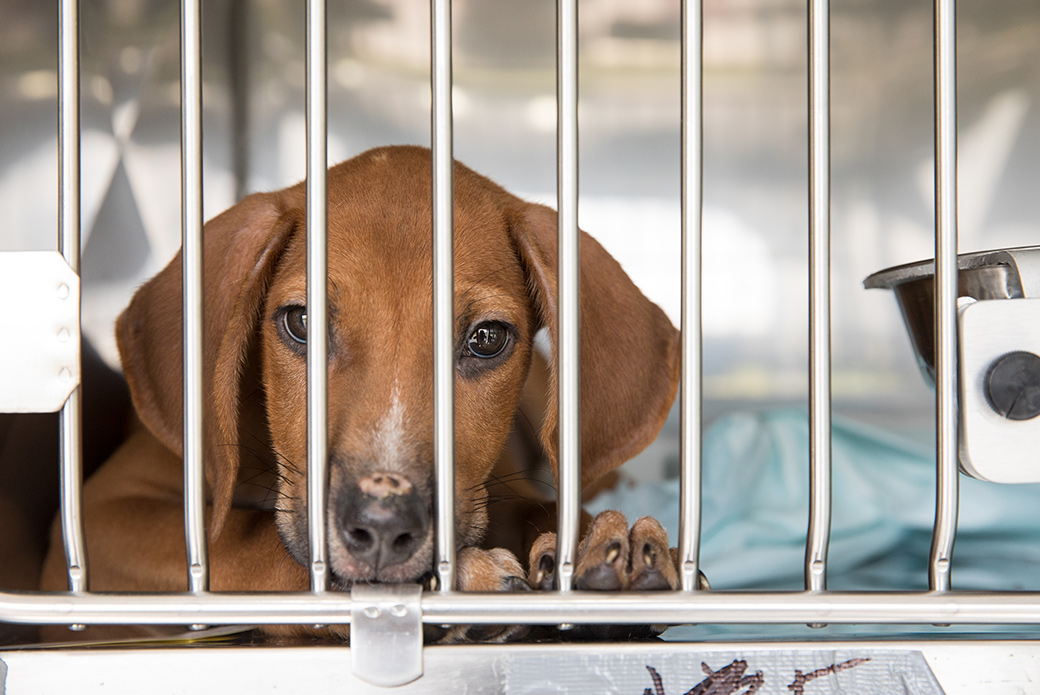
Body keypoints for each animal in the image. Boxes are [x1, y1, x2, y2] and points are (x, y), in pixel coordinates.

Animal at [38, 145, 682, 640]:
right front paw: (463, 580)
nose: (382, 527)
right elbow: (249, 545)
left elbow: (536, 506)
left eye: (487, 338)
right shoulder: (102, 516)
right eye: (301, 322)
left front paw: (601, 545)